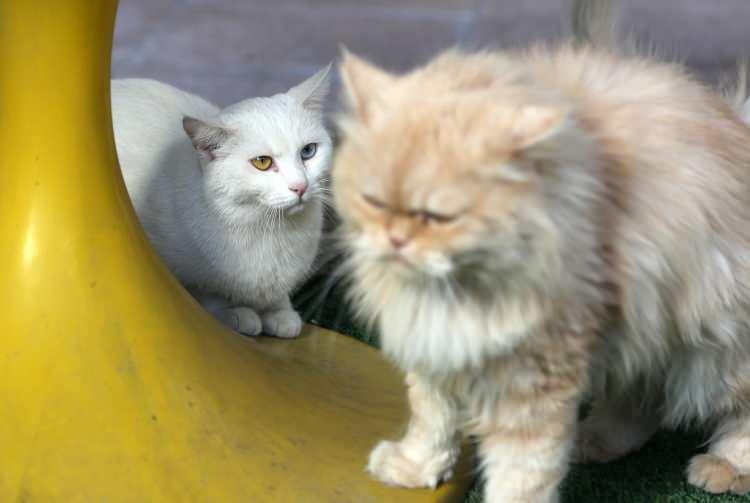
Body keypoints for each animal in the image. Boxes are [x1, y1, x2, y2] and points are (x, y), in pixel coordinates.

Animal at [111, 65, 332, 336]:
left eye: (308, 151)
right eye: (262, 162)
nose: (300, 186)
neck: (268, 228)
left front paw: (280, 311)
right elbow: (205, 292)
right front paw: (234, 313)